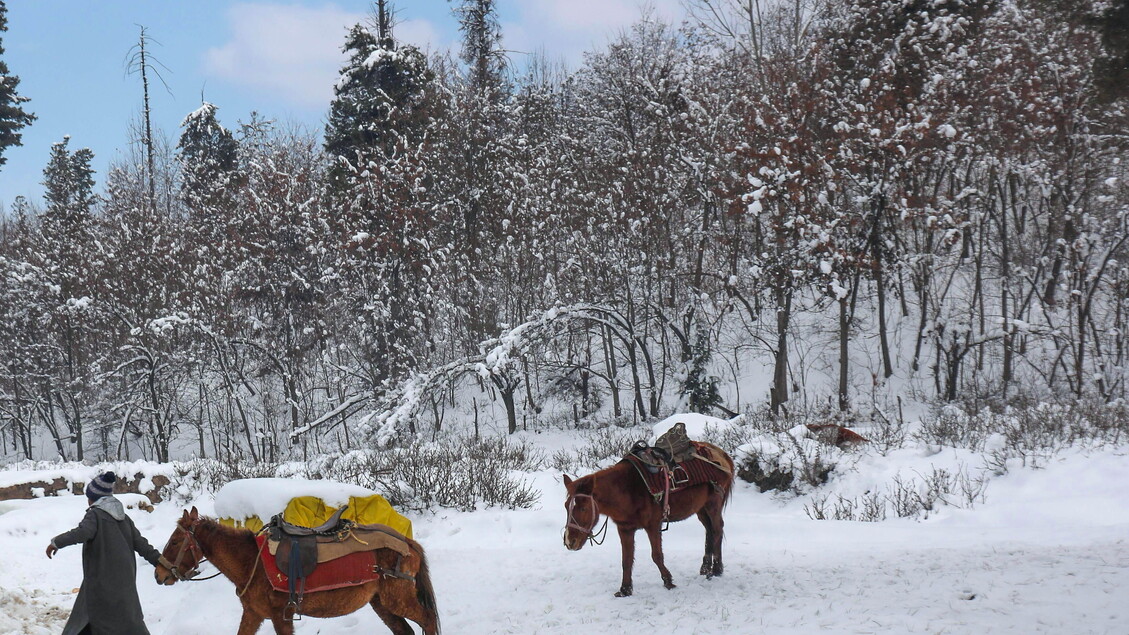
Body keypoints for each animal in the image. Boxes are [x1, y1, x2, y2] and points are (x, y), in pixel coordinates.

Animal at [559, 422, 736, 596]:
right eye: (566, 506)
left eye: (583, 508)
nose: (569, 542)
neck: (627, 489)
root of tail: (722, 454)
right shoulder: (625, 529)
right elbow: (626, 559)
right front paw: (625, 589)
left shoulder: (653, 525)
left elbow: (656, 555)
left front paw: (668, 582)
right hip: (701, 508)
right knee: (709, 531)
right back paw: (705, 568)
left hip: (713, 504)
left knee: (717, 529)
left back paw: (716, 570)